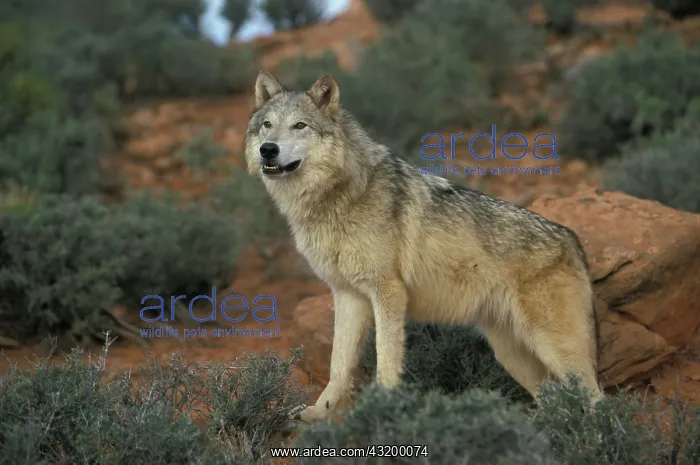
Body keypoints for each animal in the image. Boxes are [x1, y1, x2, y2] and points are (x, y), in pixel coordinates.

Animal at [244, 70, 604, 422]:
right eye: (267, 125)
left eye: (299, 125)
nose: (268, 149)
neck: (337, 197)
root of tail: (573, 240)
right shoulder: (348, 295)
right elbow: (339, 365)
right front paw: (320, 412)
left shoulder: (388, 292)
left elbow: (386, 363)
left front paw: (383, 409)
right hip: (513, 354)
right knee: (553, 399)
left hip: (553, 348)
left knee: (598, 398)